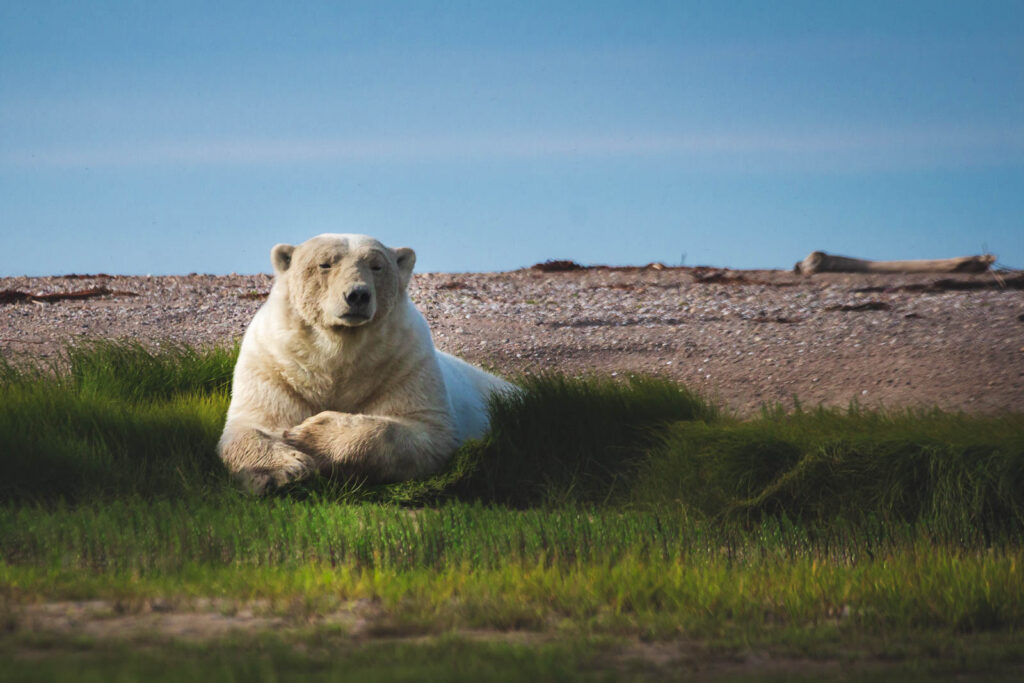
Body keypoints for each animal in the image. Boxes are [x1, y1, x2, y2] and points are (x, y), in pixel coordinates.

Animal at [221, 232, 516, 493]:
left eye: (376, 266)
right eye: (325, 264)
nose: (357, 295)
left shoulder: (406, 362)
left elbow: (425, 431)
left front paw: (308, 436)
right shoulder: (273, 365)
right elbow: (252, 424)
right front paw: (283, 471)